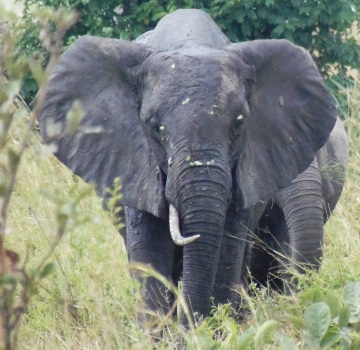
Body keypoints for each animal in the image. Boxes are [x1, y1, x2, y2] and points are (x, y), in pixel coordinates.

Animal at [38, 7, 338, 326]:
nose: (191, 325)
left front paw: (214, 328)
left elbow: (227, 249)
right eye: (155, 128)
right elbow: (150, 252)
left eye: (239, 124)